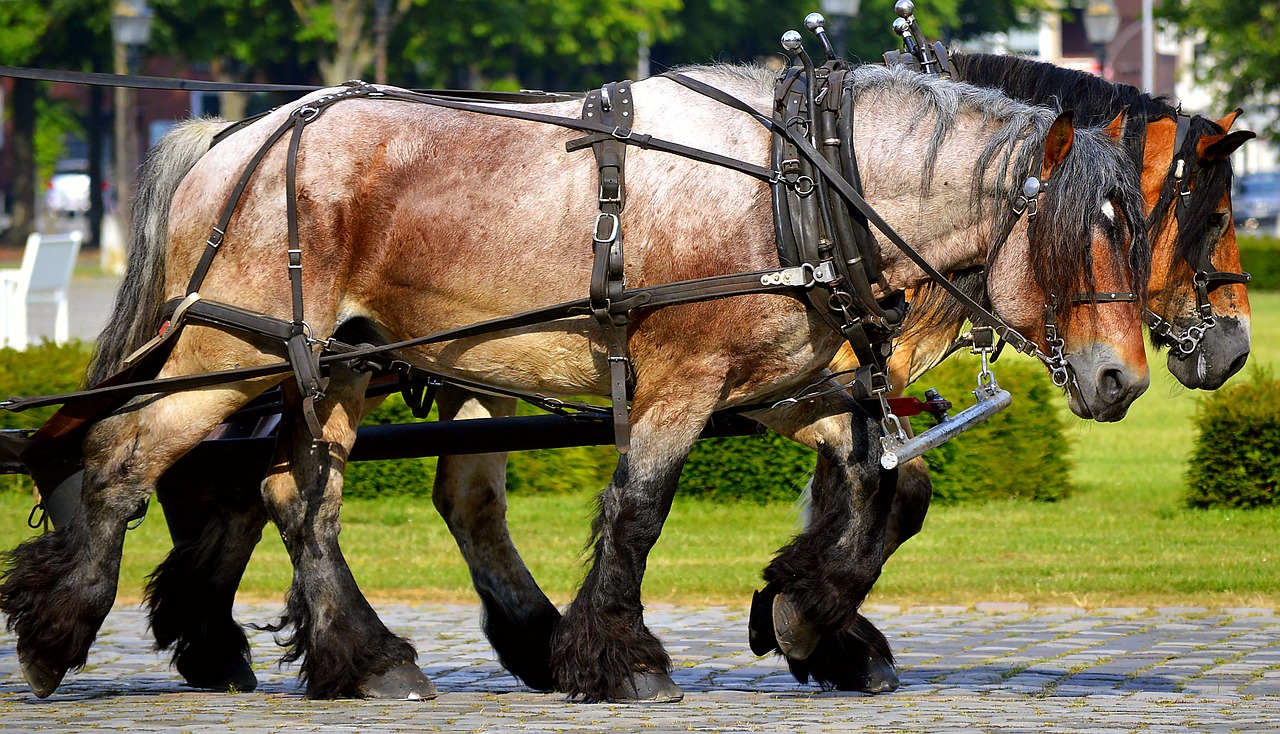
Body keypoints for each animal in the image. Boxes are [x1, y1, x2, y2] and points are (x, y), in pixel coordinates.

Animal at [0, 63, 1152, 696]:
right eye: (1069, 239)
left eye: (1138, 234)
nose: (1123, 380)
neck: (799, 184)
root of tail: (235, 133)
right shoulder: (686, 381)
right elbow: (637, 510)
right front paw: (620, 657)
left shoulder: (784, 388)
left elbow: (886, 485)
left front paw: (805, 613)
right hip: (230, 351)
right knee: (121, 457)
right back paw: (60, 628)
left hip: (332, 364)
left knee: (296, 491)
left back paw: (363, 657)